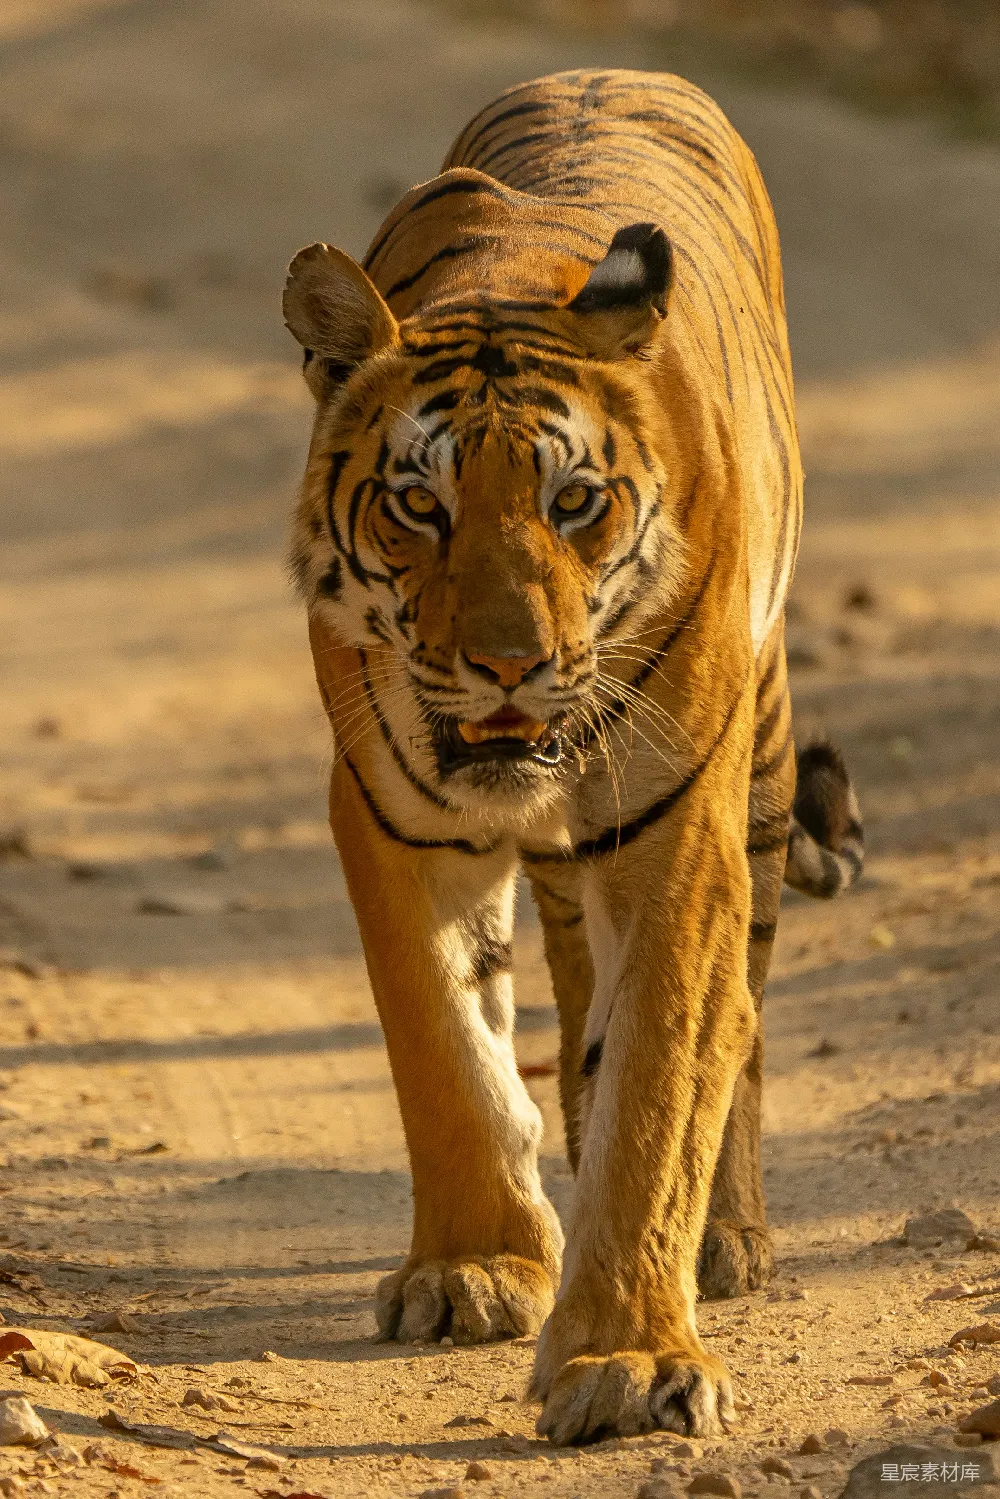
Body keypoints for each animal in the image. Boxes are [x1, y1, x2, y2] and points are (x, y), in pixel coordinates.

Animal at [282, 68, 863, 1445]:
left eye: (573, 502)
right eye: (419, 503)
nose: (507, 662)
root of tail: (616, 69)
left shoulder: (681, 839)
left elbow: (664, 1071)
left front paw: (628, 1356)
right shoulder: (391, 817)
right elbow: (442, 1042)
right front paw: (474, 1265)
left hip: (761, 768)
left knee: (741, 1008)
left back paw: (727, 1238)